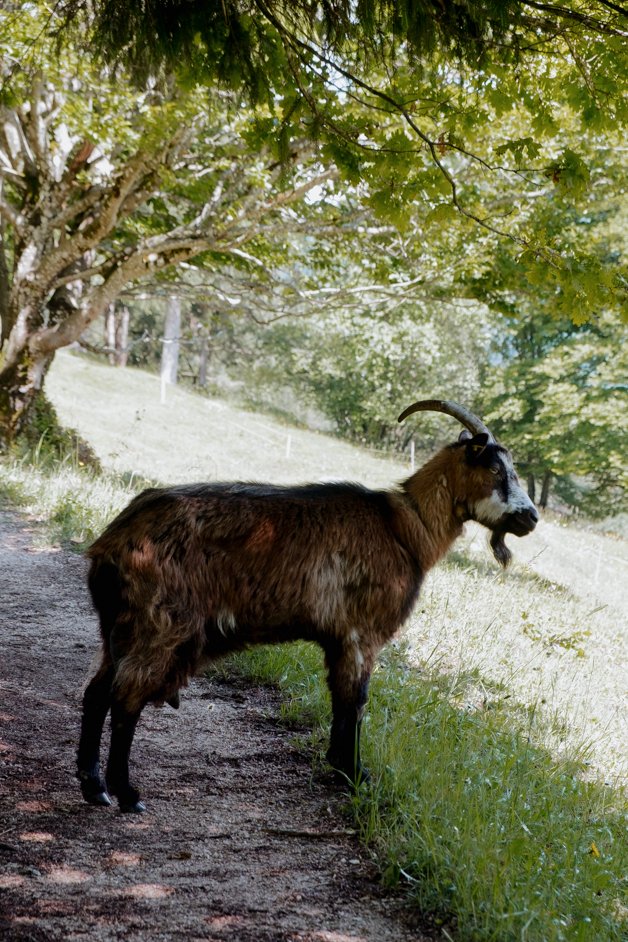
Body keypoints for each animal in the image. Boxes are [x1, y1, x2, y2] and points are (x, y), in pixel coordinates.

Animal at [78, 398, 536, 812]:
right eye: (496, 470)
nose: (530, 518)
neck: (403, 528)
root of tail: (114, 540)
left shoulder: (337, 638)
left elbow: (340, 698)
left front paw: (340, 766)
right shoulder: (362, 633)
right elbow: (356, 700)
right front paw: (355, 774)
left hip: (119, 626)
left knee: (97, 692)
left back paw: (94, 787)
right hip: (159, 623)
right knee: (126, 698)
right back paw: (127, 794)